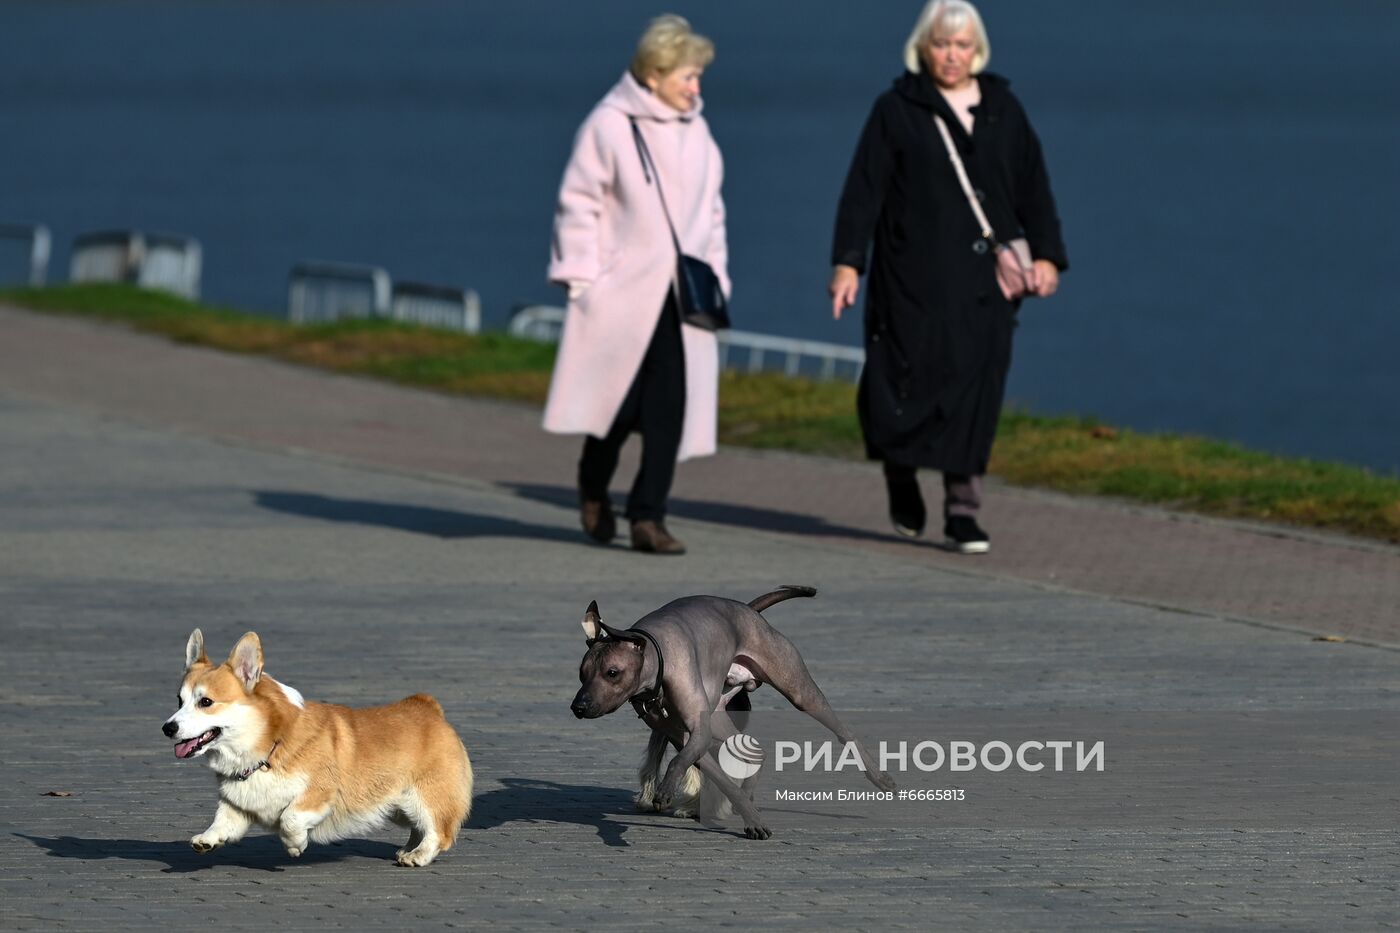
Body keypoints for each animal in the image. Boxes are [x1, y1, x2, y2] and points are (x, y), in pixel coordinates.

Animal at [161, 624, 473, 862]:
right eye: (179, 700)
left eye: (206, 702)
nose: (167, 728)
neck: (269, 746)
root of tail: (429, 707)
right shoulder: (237, 804)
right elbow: (223, 821)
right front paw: (207, 839)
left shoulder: (318, 795)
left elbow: (289, 819)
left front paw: (294, 845)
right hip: (398, 807)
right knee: (418, 828)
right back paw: (408, 848)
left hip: (424, 797)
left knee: (439, 831)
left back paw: (418, 855)